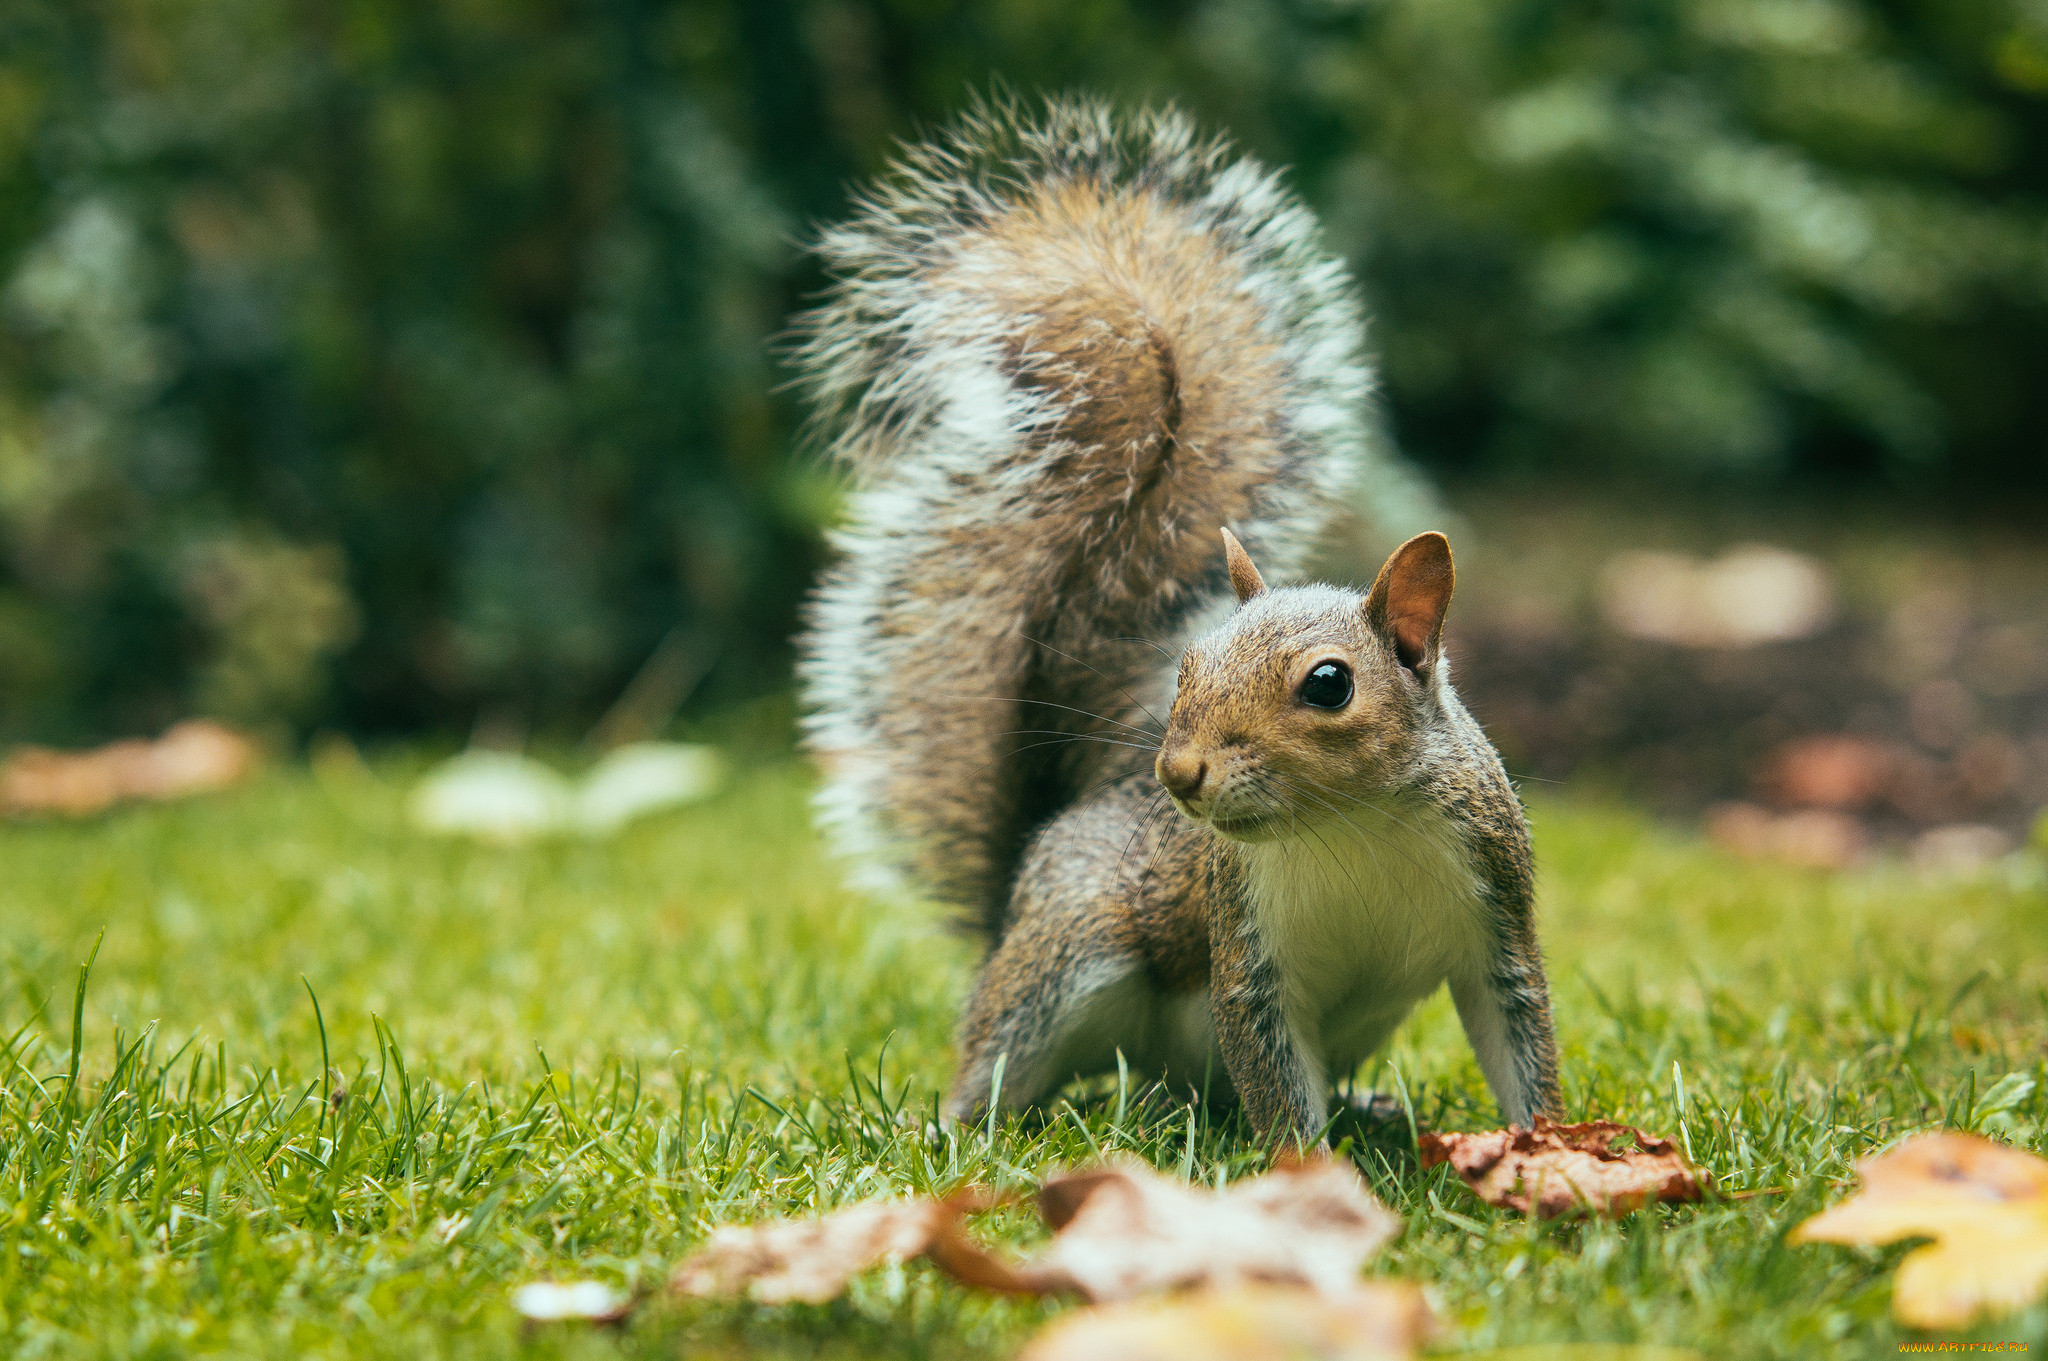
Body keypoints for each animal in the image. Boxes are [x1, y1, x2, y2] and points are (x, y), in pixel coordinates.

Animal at [790, 100, 1556, 1146]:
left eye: (1329, 683)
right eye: (1185, 667)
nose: (1179, 772)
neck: (1351, 825)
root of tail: (1019, 883)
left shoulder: (1494, 920)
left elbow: (1519, 1040)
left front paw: (1556, 1149)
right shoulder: (1247, 955)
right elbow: (1274, 1074)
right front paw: (1311, 1174)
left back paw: (1366, 1105)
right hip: (1071, 947)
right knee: (1007, 1048)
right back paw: (952, 1126)